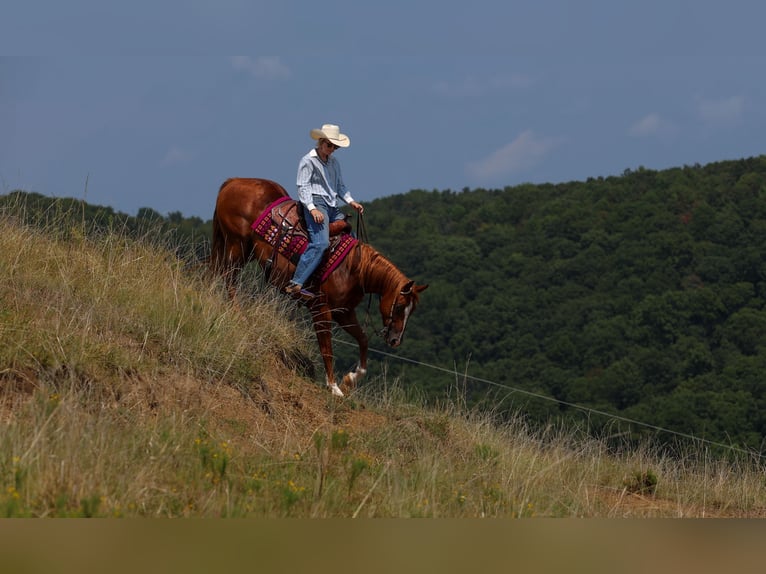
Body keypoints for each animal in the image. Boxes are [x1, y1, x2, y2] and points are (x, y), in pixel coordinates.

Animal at [210, 178, 428, 397]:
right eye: (399, 306)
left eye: (412, 311)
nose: (395, 340)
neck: (354, 268)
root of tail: (233, 181)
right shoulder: (321, 310)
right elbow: (327, 349)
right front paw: (333, 387)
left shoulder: (344, 312)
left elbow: (363, 340)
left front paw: (350, 379)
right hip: (236, 246)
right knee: (228, 279)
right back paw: (238, 314)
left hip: (239, 249)